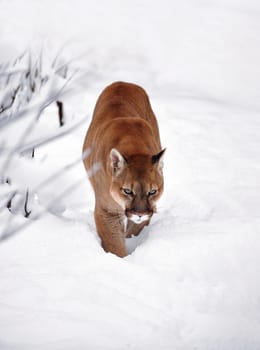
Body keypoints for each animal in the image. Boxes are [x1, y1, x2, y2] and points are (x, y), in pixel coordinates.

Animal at [82, 82, 166, 258]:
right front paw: (119, 261)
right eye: (127, 191)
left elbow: (135, 229)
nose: (140, 213)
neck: (134, 148)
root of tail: (122, 82)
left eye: (152, 191)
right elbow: (114, 244)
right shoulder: (107, 211)